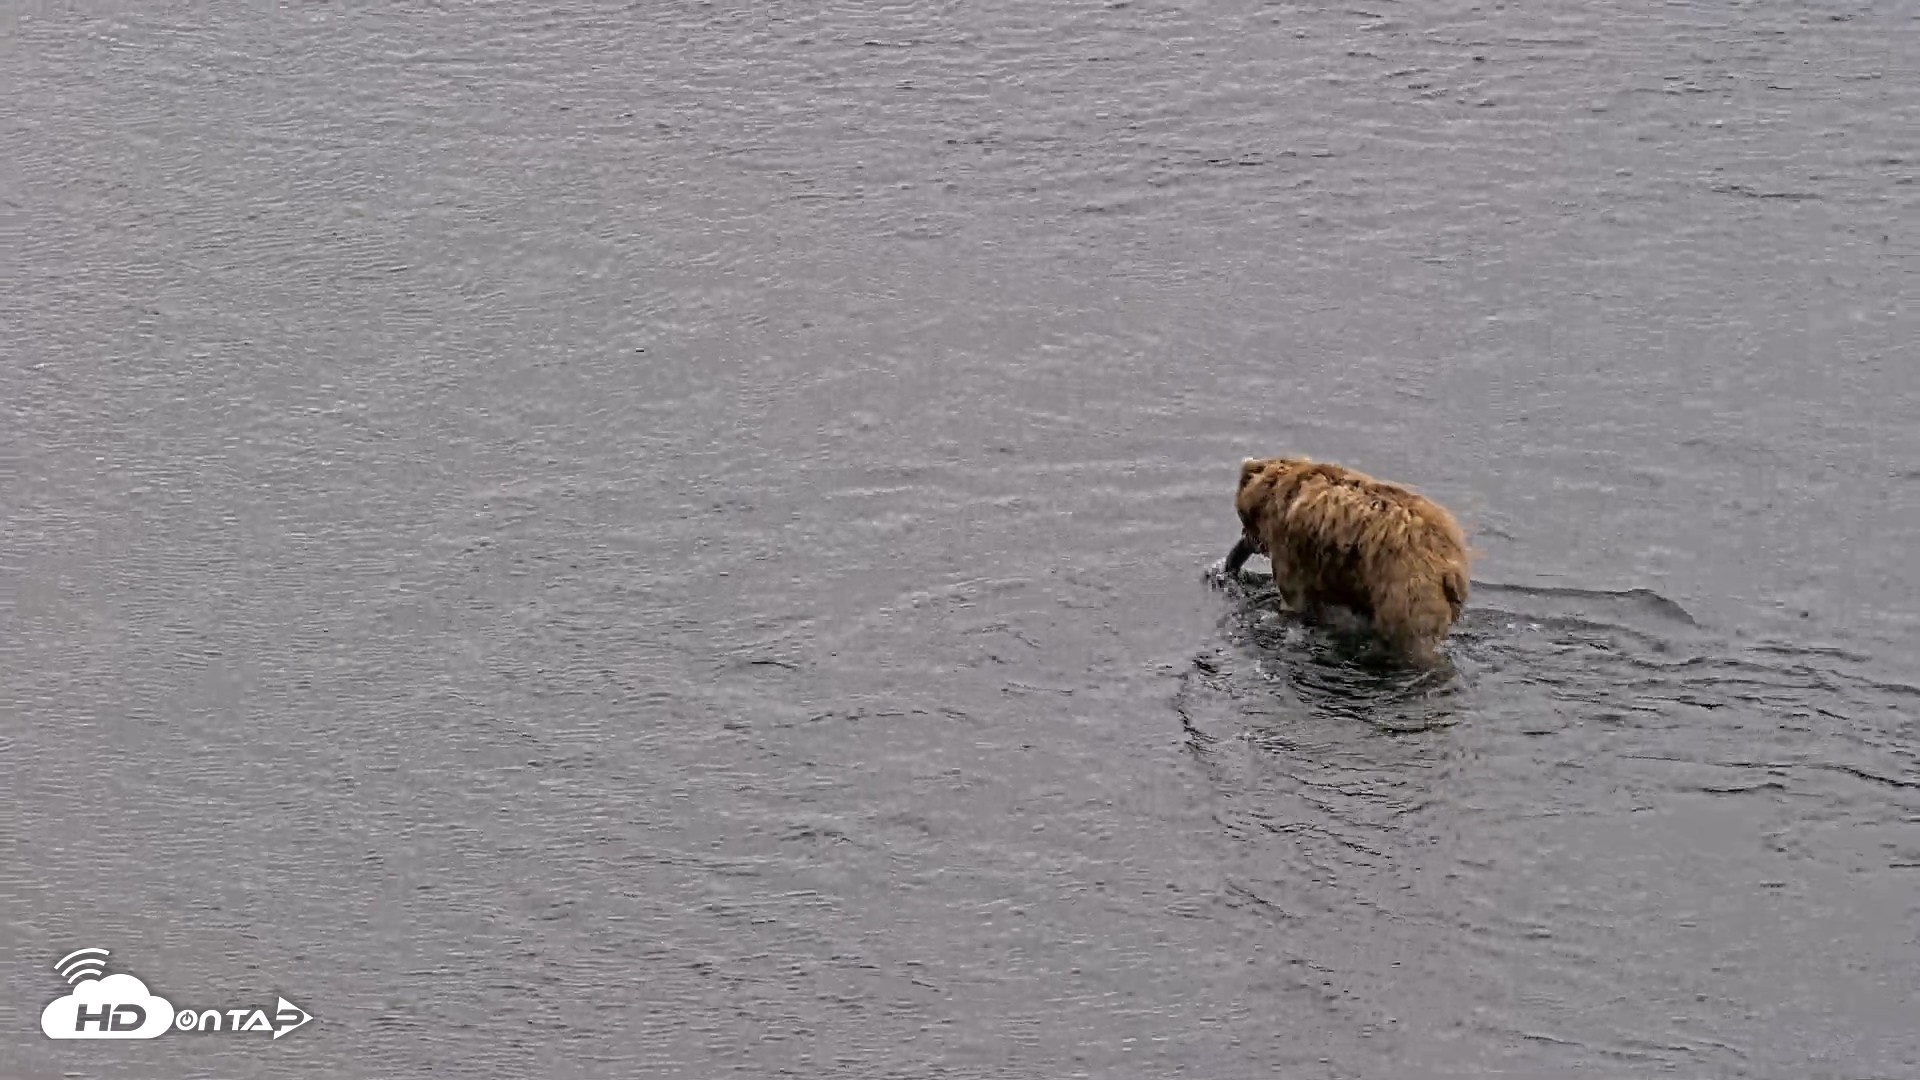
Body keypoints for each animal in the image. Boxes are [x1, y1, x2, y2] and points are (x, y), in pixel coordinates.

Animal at [1223, 456, 1471, 666]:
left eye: (1243, 517)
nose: (1245, 542)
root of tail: (1449, 566)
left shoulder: (1289, 550)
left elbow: (1293, 597)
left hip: (1406, 587)